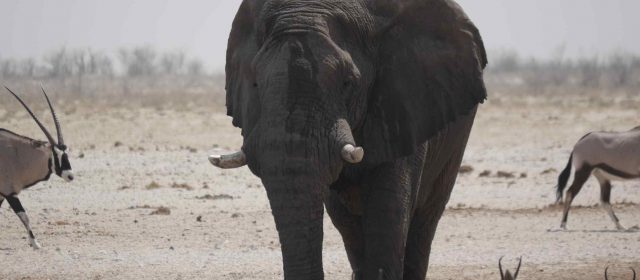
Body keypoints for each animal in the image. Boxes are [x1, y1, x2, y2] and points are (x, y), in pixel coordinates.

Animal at [210, 0, 484, 280]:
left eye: (348, 82)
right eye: (255, 83)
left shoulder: (404, 104)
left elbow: (389, 211)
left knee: (425, 219)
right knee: (347, 222)